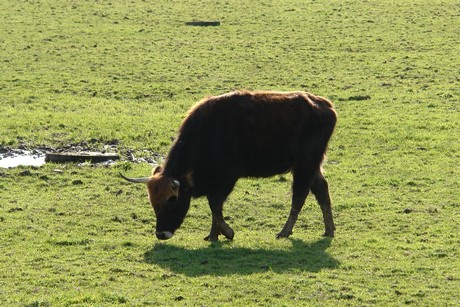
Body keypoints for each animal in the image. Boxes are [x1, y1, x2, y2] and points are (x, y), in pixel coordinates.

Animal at [121, 90, 338, 242]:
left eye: (172, 200)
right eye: (153, 202)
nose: (161, 234)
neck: (206, 134)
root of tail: (325, 106)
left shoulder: (226, 179)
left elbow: (215, 206)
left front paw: (227, 232)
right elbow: (215, 208)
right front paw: (213, 235)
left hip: (305, 165)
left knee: (300, 196)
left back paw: (285, 232)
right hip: (311, 166)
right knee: (322, 190)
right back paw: (329, 230)